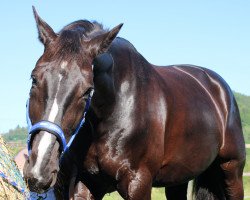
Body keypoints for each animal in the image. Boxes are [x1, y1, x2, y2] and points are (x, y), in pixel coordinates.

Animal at [24, 7, 245, 200]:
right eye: (34, 78)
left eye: (87, 90)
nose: (39, 171)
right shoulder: (84, 184)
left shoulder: (138, 183)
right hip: (178, 178)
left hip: (231, 170)